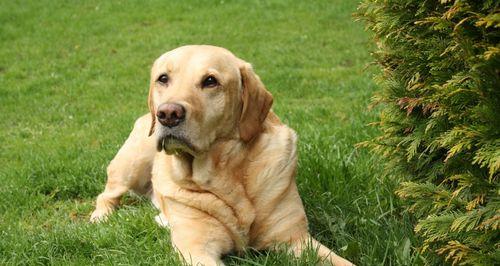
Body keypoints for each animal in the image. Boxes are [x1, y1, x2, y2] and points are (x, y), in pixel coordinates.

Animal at [91, 44, 356, 264]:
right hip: (131, 165)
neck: (224, 174)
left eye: (210, 81)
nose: (167, 114)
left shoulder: (296, 239)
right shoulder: (197, 248)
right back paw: (99, 218)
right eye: (163, 79)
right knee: (106, 196)